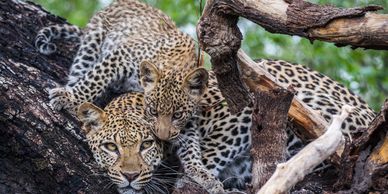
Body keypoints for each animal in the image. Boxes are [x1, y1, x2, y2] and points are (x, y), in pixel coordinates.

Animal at [35, 0, 200, 112]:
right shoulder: (122, 55)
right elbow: (94, 81)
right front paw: (69, 98)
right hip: (93, 41)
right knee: (80, 72)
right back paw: (69, 95)